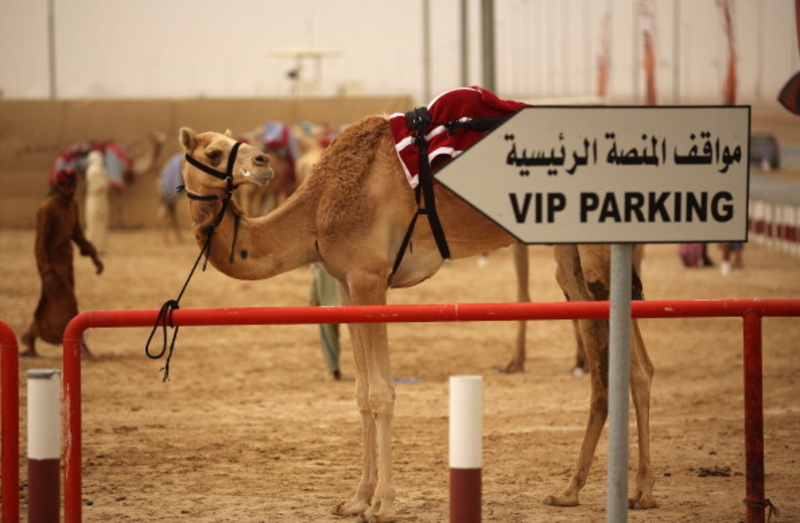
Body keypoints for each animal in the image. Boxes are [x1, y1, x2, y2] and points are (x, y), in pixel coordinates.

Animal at [180, 116, 656, 520]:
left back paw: (642, 493)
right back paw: (572, 490)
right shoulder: (347, 284)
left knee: (632, 365)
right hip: (568, 255)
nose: (262, 162)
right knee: (613, 361)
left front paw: (383, 505)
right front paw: (356, 500)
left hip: (599, 250)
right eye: (214, 152)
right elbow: (360, 393)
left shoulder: (370, 278)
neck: (317, 209)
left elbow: (381, 393)